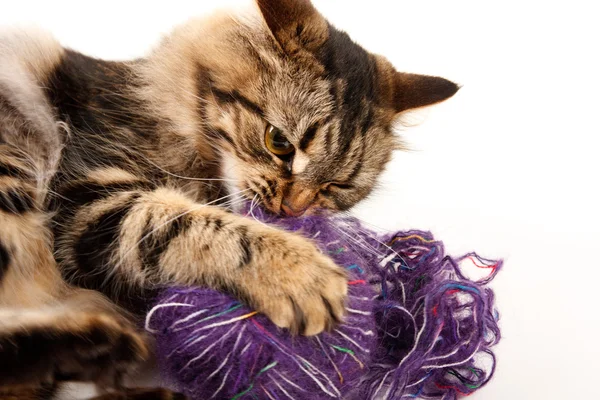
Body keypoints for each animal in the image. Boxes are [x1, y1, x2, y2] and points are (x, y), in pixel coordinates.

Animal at [0, 0, 458, 396]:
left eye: (337, 187)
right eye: (278, 143)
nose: (292, 209)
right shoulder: (85, 199)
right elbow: (187, 223)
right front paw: (304, 274)